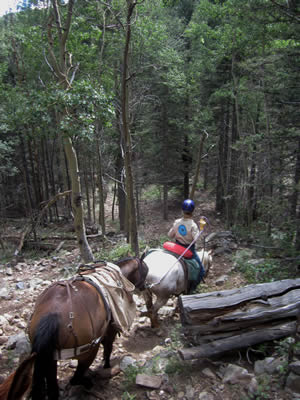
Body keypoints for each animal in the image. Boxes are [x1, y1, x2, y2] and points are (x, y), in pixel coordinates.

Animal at [27, 256, 147, 400]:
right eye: (145, 270)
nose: (145, 286)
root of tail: (52, 314)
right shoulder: (110, 331)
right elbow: (108, 349)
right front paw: (106, 366)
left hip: (50, 357)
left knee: (53, 388)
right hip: (88, 351)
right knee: (76, 378)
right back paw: (88, 383)